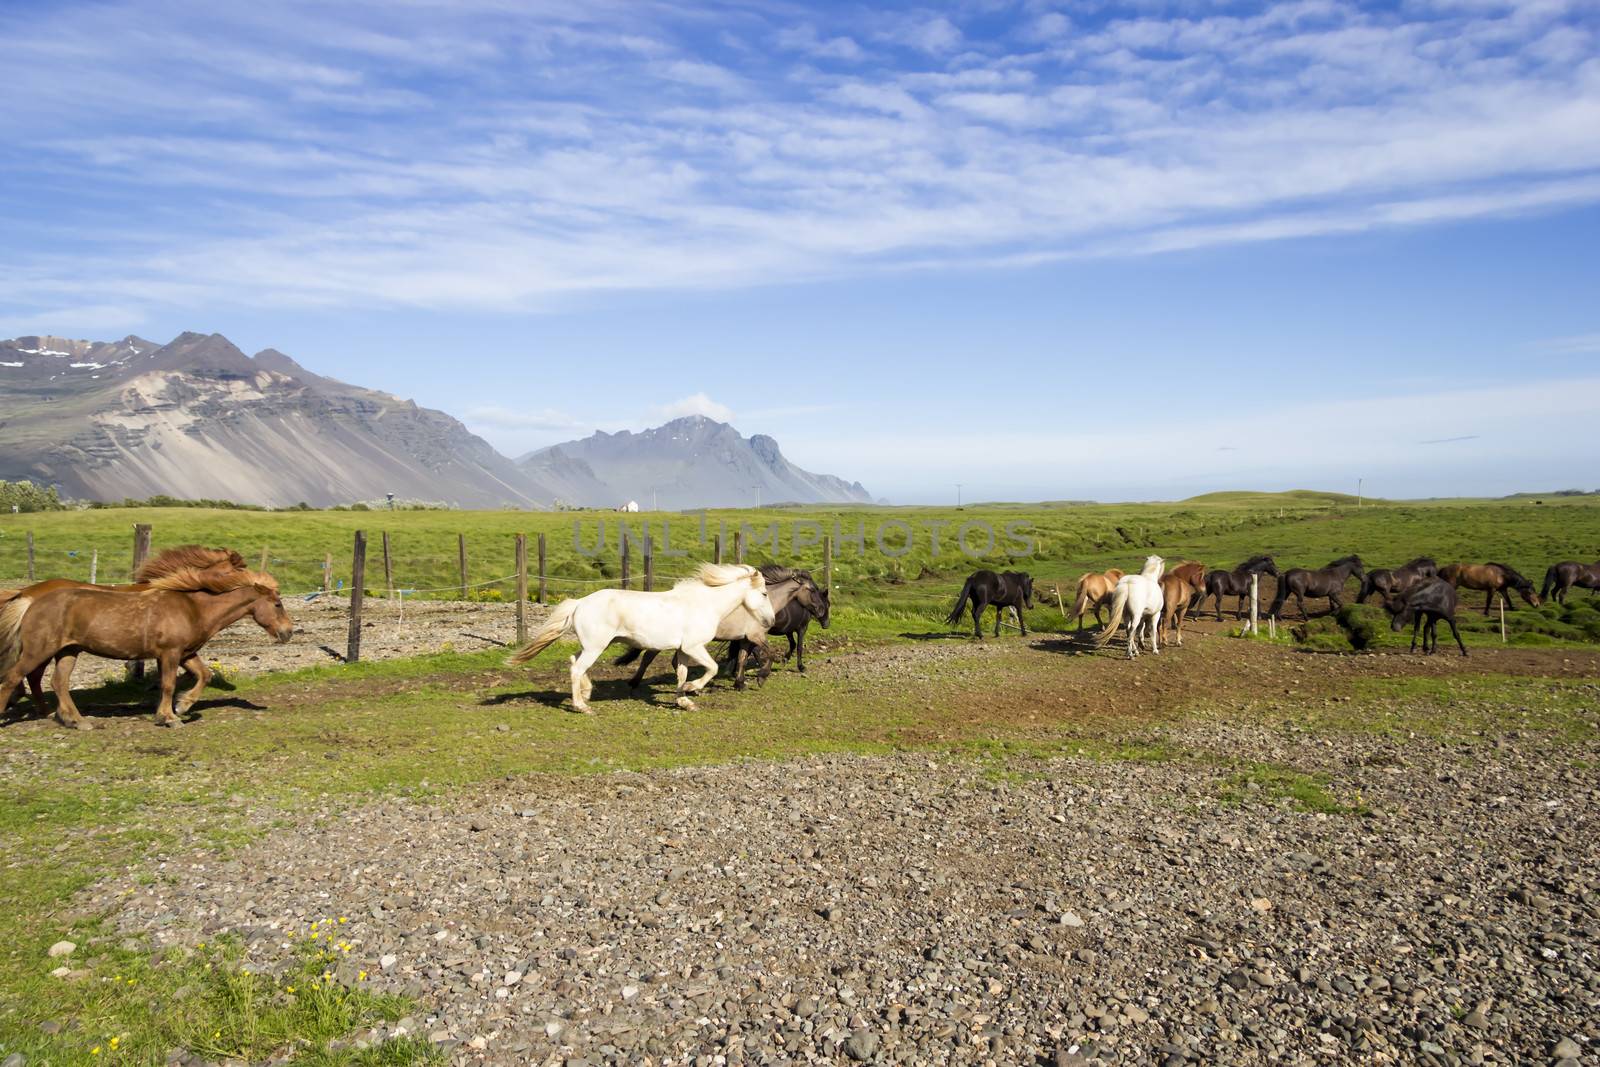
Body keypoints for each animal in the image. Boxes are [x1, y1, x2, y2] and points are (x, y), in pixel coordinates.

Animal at [505, 563, 768, 713]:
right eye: (765, 593)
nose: (769, 621)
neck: (705, 604)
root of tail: (580, 602)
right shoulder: (694, 646)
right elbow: (711, 668)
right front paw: (692, 689)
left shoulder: (683, 649)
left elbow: (682, 672)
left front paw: (684, 701)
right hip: (596, 647)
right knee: (576, 668)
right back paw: (582, 706)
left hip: (593, 645)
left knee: (574, 660)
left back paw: (587, 692)